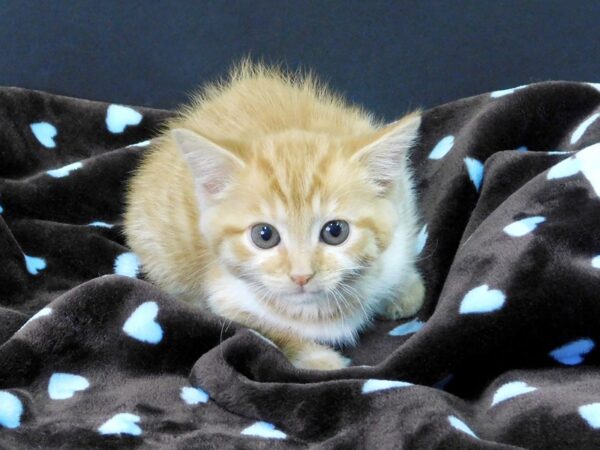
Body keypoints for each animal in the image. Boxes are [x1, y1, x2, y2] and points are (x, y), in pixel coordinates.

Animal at [124, 60, 424, 370]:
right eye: (264, 236)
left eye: (335, 231)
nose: (301, 276)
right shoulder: (224, 298)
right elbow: (270, 331)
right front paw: (322, 360)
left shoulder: (402, 219)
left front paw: (406, 291)